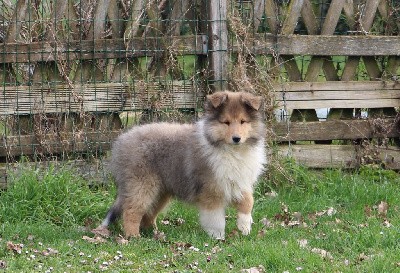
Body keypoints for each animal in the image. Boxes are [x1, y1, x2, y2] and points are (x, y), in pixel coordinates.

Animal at [97, 90, 266, 237]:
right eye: (226, 122)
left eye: (243, 121)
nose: (236, 138)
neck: (232, 151)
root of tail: (121, 141)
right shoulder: (211, 189)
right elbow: (216, 218)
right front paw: (217, 237)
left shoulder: (240, 182)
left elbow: (248, 201)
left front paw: (245, 226)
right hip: (141, 184)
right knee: (131, 210)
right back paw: (133, 236)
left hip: (161, 191)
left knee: (148, 214)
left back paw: (155, 233)